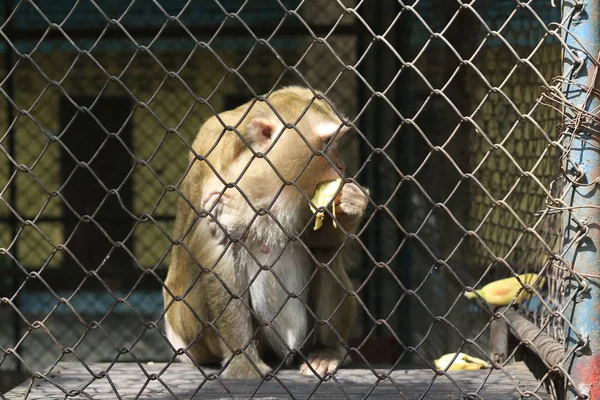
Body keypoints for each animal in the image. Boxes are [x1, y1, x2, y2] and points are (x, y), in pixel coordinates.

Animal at [163, 85, 370, 378]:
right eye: (327, 142)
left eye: (338, 140)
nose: (341, 166)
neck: (263, 176)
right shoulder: (214, 185)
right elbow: (217, 255)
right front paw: (243, 362)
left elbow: (318, 241)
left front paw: (349, 204)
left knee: (326, 258)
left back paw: (326, 352)